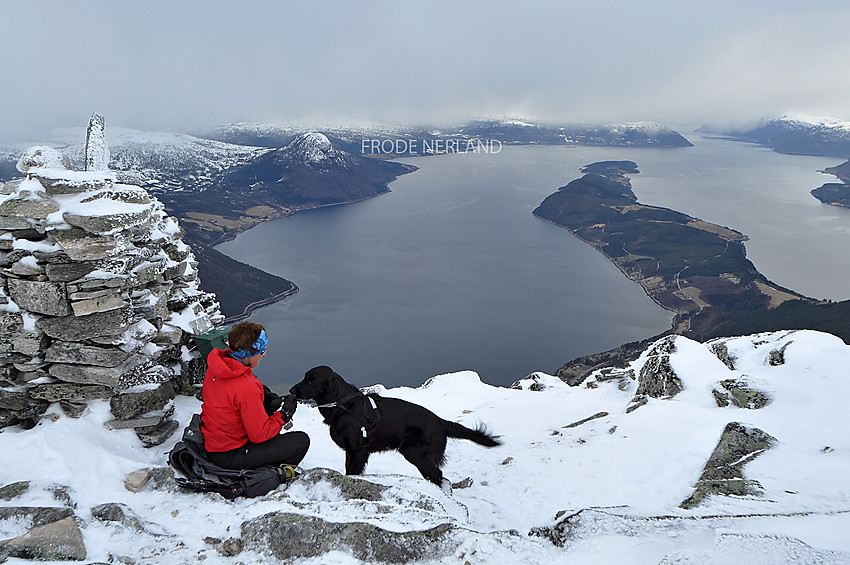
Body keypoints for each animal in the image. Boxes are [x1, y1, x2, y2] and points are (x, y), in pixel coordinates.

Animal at [288, 366, 500, 490]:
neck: (343, 405)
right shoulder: (352, 451)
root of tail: (440, 421)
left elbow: (352, 472)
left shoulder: (357, 451)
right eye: (305, 377)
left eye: (312, 380)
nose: (291, 390)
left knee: (438, 475)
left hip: (414, 452)